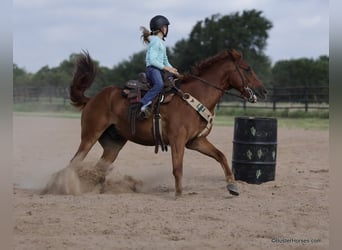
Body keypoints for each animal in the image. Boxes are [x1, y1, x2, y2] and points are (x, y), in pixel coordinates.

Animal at [69, 48, 268, 196]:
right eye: (247, 68)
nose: (263, 91)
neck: (194, 95)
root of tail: (92, 99)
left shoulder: (195, 141)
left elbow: (221, 156)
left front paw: (232, 186)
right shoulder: (177, 140)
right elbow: (177, 168)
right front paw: (178, 194)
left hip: (113, 145)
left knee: (99, 169)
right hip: (90, 136)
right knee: (74, 162)